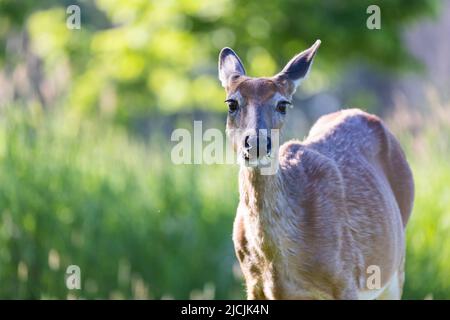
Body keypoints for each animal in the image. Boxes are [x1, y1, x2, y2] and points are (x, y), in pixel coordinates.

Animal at [218, 40, 414, 300]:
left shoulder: (346, 278)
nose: (257, 142)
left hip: (395, 268)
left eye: (282, 104)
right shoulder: (253, 284)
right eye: (232, 103)